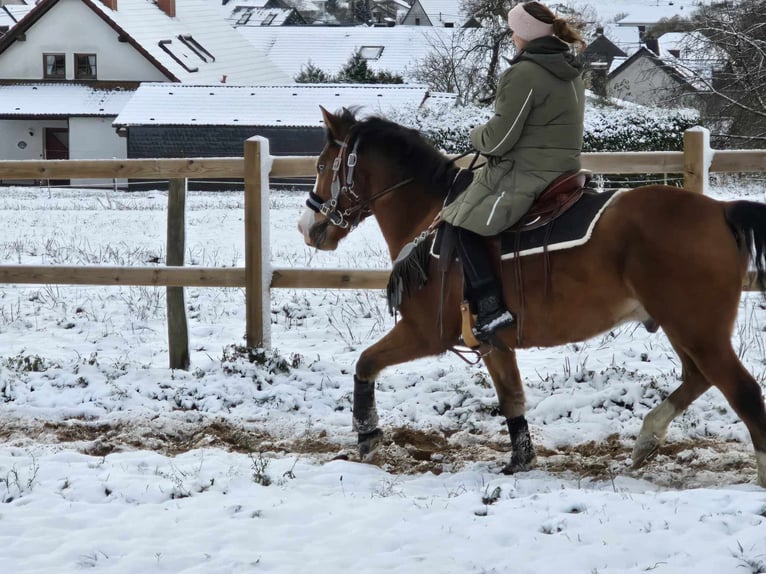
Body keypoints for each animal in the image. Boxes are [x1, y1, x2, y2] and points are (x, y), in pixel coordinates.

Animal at [296, 106, 766, 488]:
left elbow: (365, 363)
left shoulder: (424, 333)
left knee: (742, 391)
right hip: (684, 328)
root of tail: (720, 210)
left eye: (322, 164)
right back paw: (647, 438)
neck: (432, 216)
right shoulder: (493, 342)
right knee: (699, 378)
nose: (308, 227)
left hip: (696, 330)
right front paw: (521, 459)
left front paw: (367, 434)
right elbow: (511, 398)